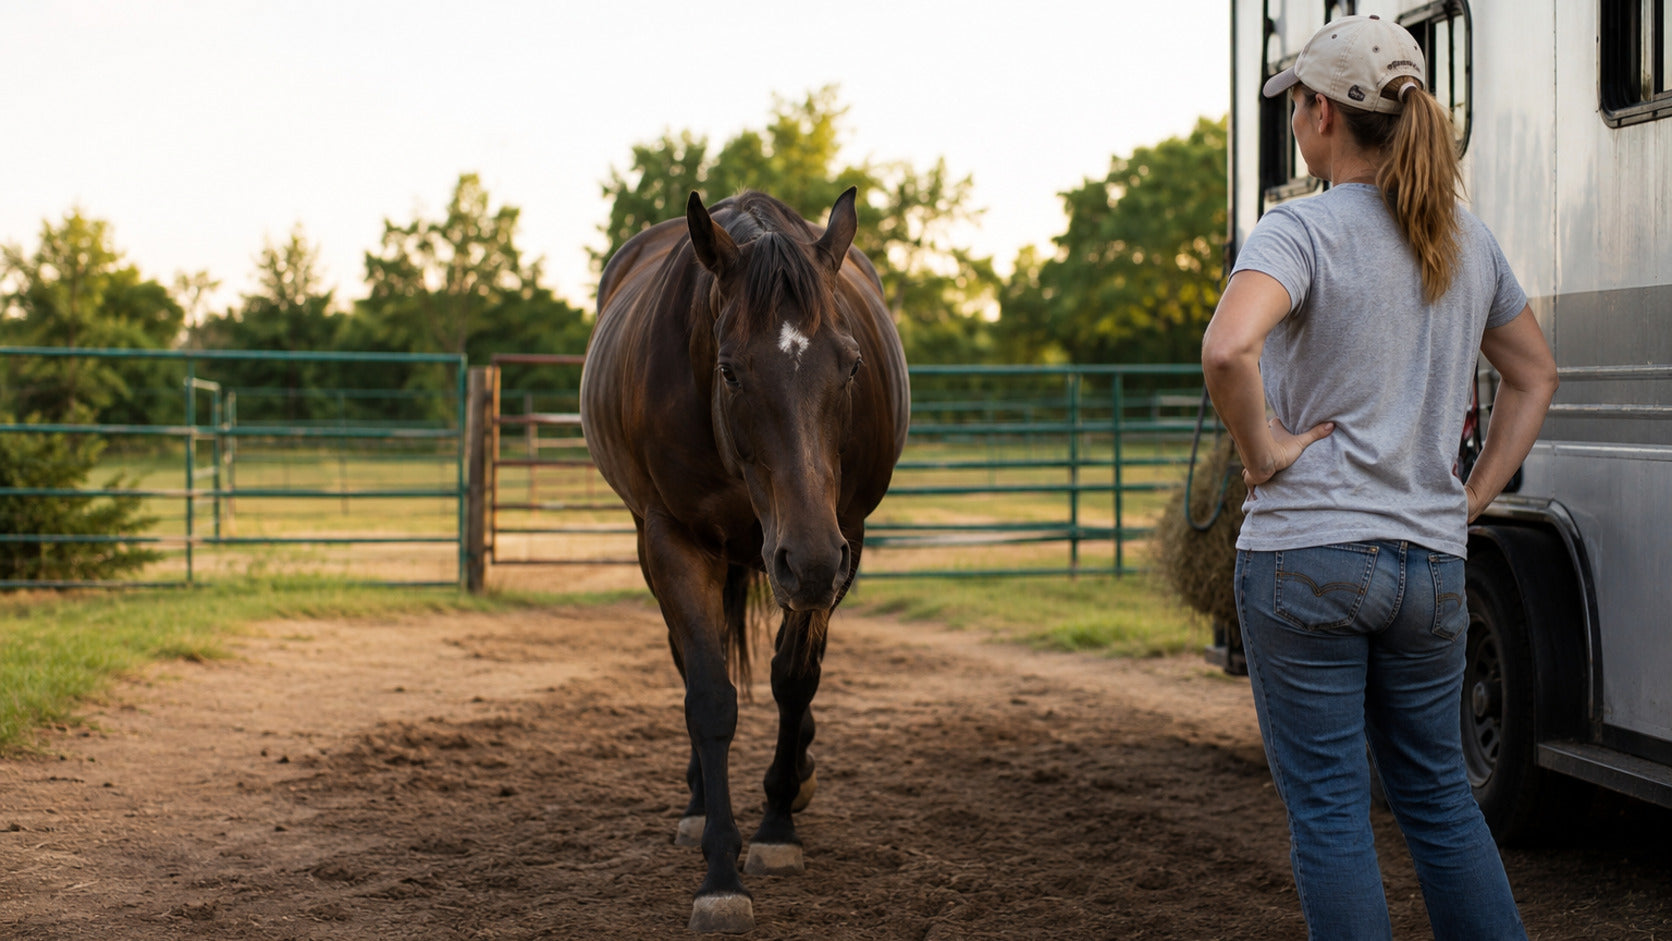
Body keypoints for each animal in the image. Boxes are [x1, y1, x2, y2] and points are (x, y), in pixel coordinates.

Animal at [579, 188, 909, 933]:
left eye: (850, 365)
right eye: (730, 370)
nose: (808, 558)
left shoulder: (841, 539)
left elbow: (795, 678)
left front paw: (778, 825)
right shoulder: (673, 540)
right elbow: (709, 696)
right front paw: (720, 874)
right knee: (690, 662)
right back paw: (700, 804)